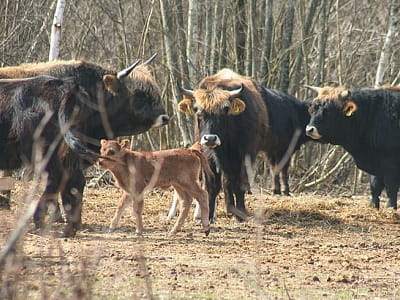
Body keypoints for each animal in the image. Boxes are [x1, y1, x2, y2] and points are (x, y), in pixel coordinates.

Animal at [177, 69, 310, 221]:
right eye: (198, 111)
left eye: (225, 110)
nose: (210, 138)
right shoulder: (208, 156)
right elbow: (212, 186)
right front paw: (209, 216)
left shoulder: (245, 154)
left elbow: (240, 184)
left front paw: (240, 213)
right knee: (226, 182)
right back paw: (229, 208)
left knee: (231, 182)